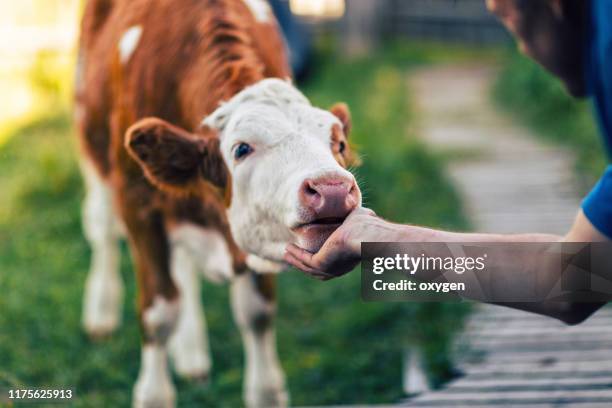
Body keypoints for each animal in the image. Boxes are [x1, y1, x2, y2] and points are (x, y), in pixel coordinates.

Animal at [74, 1, 360, 406]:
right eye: (240, 149)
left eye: (339, 144)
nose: (331, 188)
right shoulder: (138, 202)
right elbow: (159, 313)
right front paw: (154, 393)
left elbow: (257, 312)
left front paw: (265, 392)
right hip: (90, 135)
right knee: (101, 229)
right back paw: (101, 310)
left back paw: (191, 350)